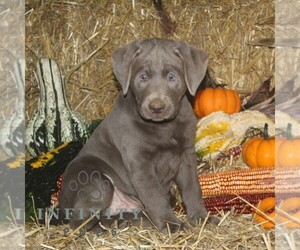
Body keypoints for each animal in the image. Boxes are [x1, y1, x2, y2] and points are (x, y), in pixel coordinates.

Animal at [58, 37, 218, 232]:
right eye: (143, 77)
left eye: (172, 77)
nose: (156, 108)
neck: (163, 127)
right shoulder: (140, 165)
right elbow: (155, 196)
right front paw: (171, 224)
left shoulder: (186, 155)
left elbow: (192, 188)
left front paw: (201, 218)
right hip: (96, 181)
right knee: (78, 223)